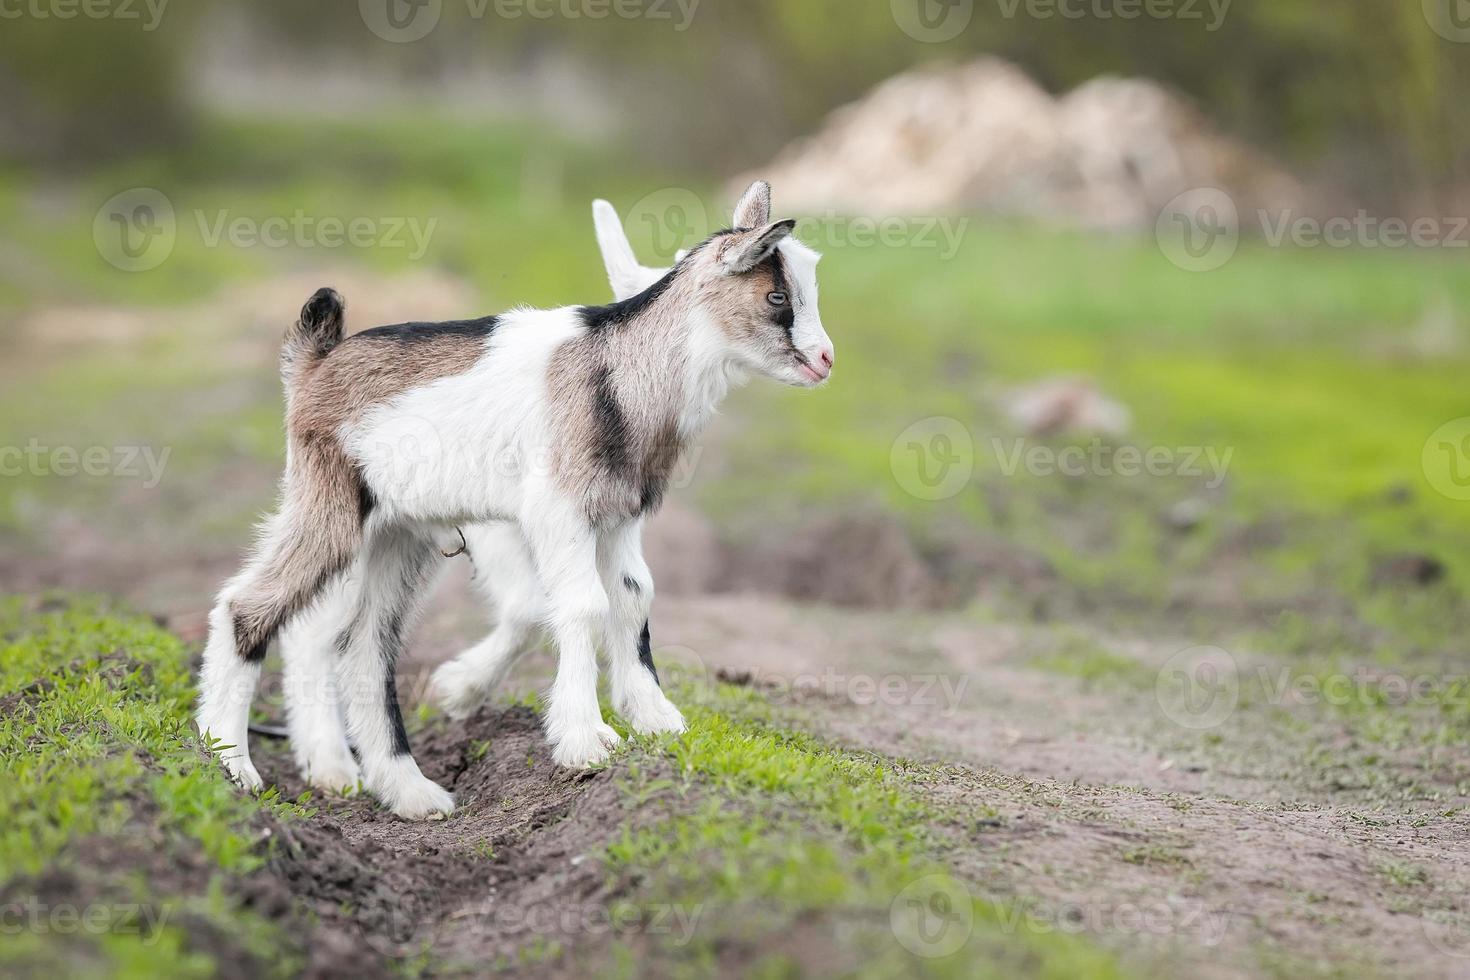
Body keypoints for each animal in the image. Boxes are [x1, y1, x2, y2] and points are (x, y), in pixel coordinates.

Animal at [198, 182, 840, 822]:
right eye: (777, 294)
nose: (826, 359)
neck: (617, 372)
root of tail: (315, 363)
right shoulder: (558, 510)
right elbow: (583, 604)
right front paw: (586, 741)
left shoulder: (618, 514)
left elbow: (633, 596)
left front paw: (655, 719)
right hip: (332, 506)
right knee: (248, 608)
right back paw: (233, 764)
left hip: (398, 535)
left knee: (363, 649)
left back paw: (406, 791)